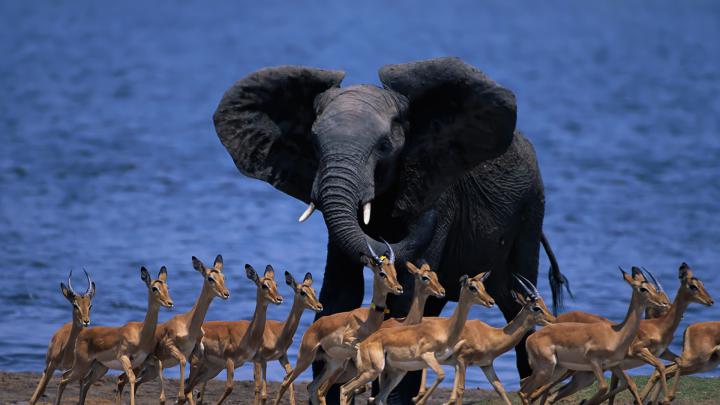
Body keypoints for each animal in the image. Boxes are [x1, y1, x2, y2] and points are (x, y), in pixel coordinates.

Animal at [213, 57, 570, 404]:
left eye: (385, 146)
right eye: (313, 143)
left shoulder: (438, 191)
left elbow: (407, 289)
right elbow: (339, 291)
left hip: (530, 211)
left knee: (514, 295)